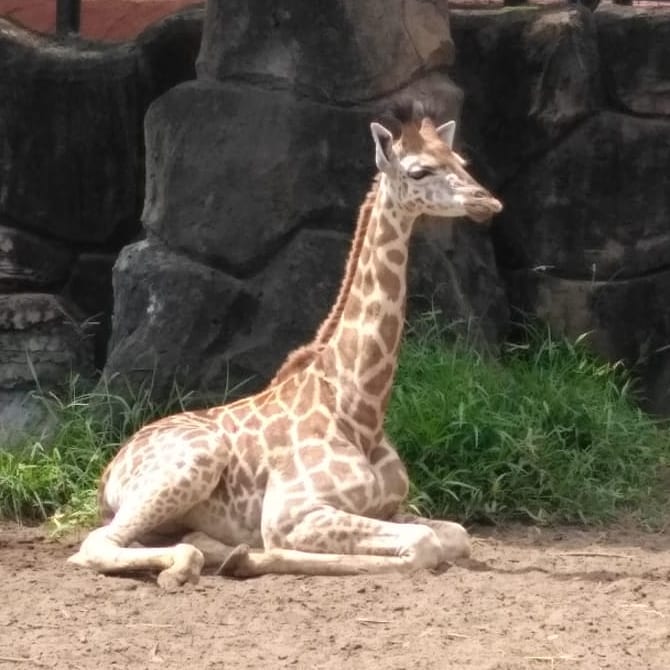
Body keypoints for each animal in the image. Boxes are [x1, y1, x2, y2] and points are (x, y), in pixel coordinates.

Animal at [68, 102, 504, 592]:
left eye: (460, 162)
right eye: (419, 170)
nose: (487, 202)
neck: (360, 412)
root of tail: (110, 470)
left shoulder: (387, 506)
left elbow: (455, 536)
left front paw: (245, 556)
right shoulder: (291, 513)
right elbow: (422, 545)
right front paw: (253, 558)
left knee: (172, 538)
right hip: (190, 463)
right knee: (97, 545)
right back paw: (191, 564)